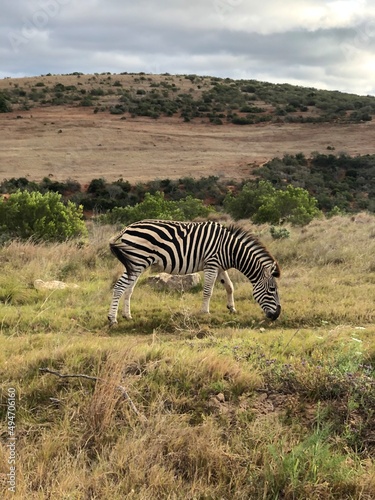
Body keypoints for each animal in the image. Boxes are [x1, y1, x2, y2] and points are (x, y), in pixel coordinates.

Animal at [107, 219, 280, 324]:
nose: (277, 315)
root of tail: (127, 228)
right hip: (137, 261)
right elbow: (208, 291)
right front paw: (205, 312)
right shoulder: (212, 264)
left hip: (136, 264)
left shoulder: (219, 266)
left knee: (128, 289)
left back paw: (127, 315)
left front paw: (232, 308)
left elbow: (229, 286)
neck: (230, 249)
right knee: (119, 286)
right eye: (272, 290)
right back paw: (112, 318)